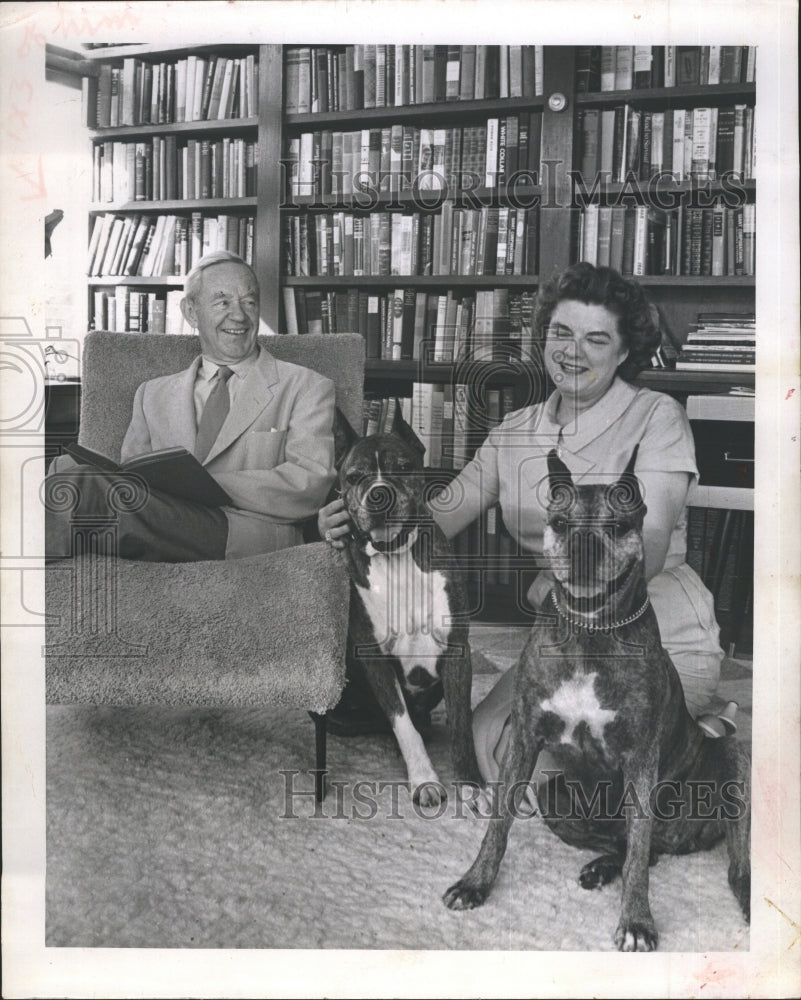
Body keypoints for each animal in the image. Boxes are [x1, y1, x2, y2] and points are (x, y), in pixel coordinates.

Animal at [338, 434, 482, 808]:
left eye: (402, 468)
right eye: (354, 477)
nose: (378, 493)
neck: (396, 556)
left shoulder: (457, 651)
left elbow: (462, 725)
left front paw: (472, 785)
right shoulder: (374, 659)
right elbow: (403, 725)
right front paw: (424, 778)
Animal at [444, 450, 752, 948]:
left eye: (619, 526)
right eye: (559, 523)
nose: (584, 546)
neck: (590, 633)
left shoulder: (641, 759)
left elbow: (639, 854)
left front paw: (637, 921)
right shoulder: (525, 741)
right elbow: (498, 825)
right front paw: (475, 883)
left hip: (732, 757)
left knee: (716, 860)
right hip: (552, 795)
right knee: (637, 850)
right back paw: (600, 868)